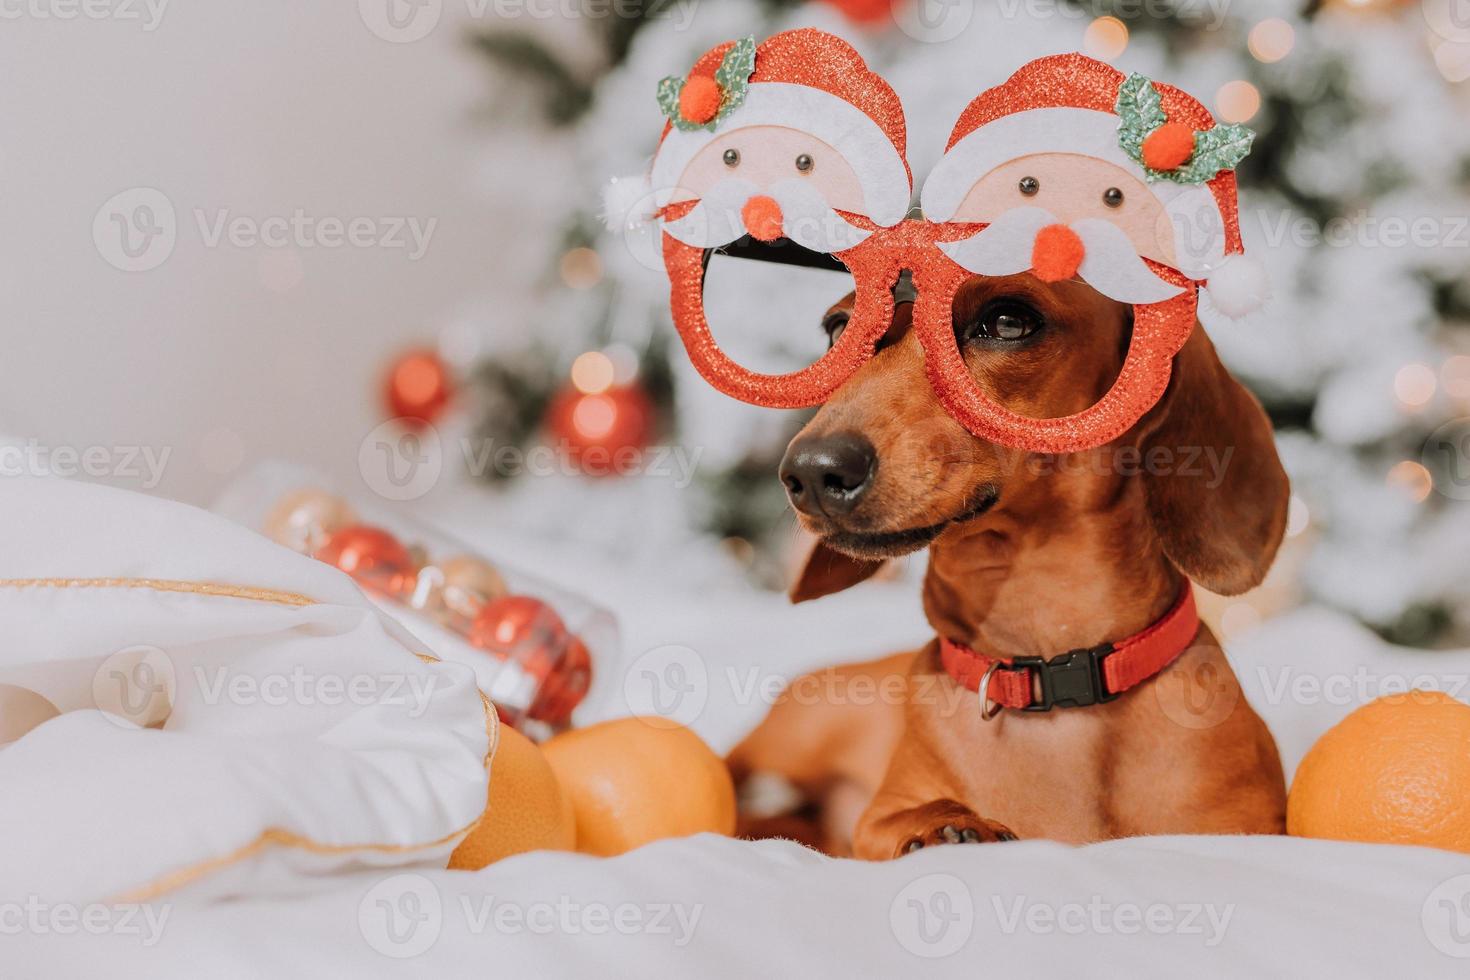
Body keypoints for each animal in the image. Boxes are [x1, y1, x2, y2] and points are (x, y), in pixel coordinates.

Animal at [729, 274, 1293, 858]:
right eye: (840, 329)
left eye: (1007, 322)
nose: (811, 472)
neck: (1051, 669)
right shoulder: (875, 819)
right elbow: (896, 818)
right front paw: (945, 826)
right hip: (796, 734)